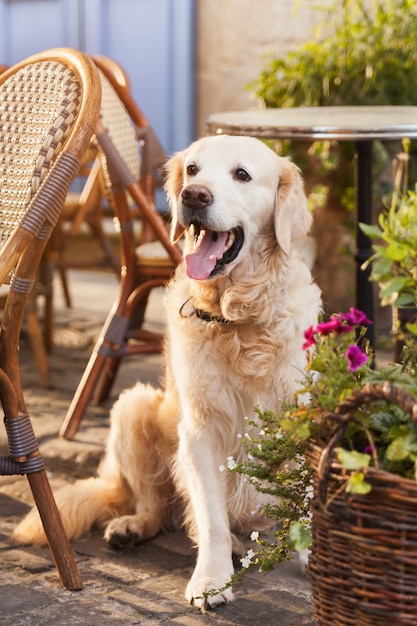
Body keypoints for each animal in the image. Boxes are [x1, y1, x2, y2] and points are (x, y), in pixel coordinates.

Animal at [12, 135, 318, 604]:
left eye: (242, 174)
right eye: (192, 169)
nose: (194, 196)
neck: (238, 318)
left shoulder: (303, 419)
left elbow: (307, 500)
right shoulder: (199, 430)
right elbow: (211, 517)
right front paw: (211, 580)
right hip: (133, 405)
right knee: (157, 507)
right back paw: (134, 527)